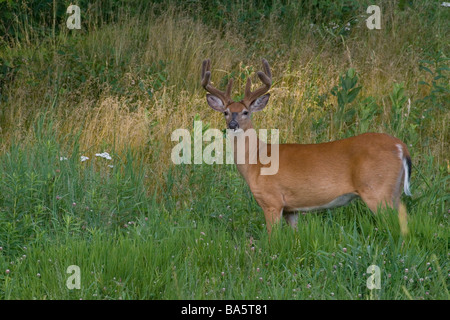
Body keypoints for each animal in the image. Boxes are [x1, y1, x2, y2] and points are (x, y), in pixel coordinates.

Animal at [202, 58, 414, 235]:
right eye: (226, 112)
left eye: (245, 112)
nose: (232, 124)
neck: (256, 160)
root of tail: (401, 147)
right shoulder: (292, 209)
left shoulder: (272, 200)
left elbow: (272, 238)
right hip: (393, 191)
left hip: (377, 190)